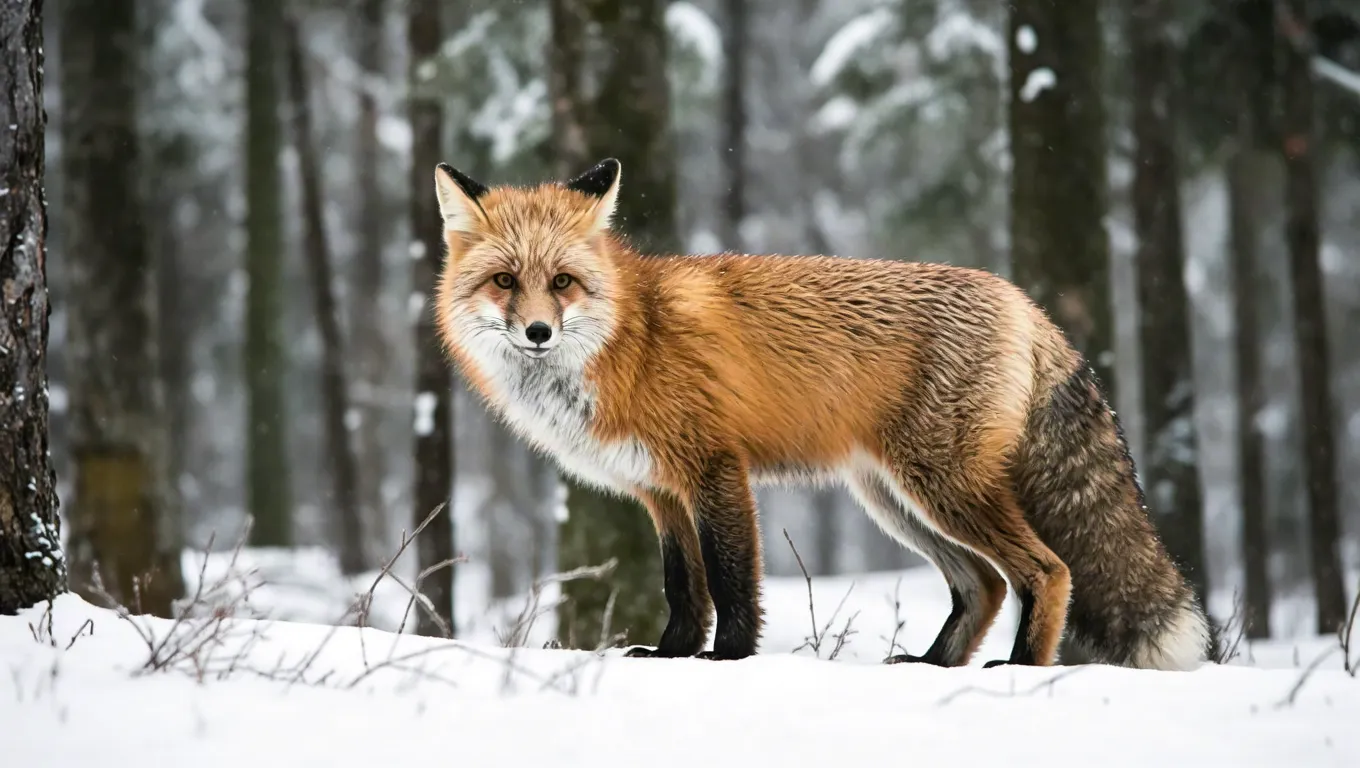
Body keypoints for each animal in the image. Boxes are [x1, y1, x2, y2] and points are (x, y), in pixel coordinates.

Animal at [430, 156, 1213, 670]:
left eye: (563, 282)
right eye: (506, 282)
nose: (538, 332)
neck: (630, 336)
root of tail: (1024, 301)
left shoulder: (715, 471)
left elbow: (731, 581)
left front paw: (728, 660)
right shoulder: (661, 492)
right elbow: (683, 589)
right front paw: (668, 655)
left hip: (942, 488)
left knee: (1046, 571)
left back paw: (1020, 671)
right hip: (895, 500)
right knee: (983, 583)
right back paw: (934, 666)